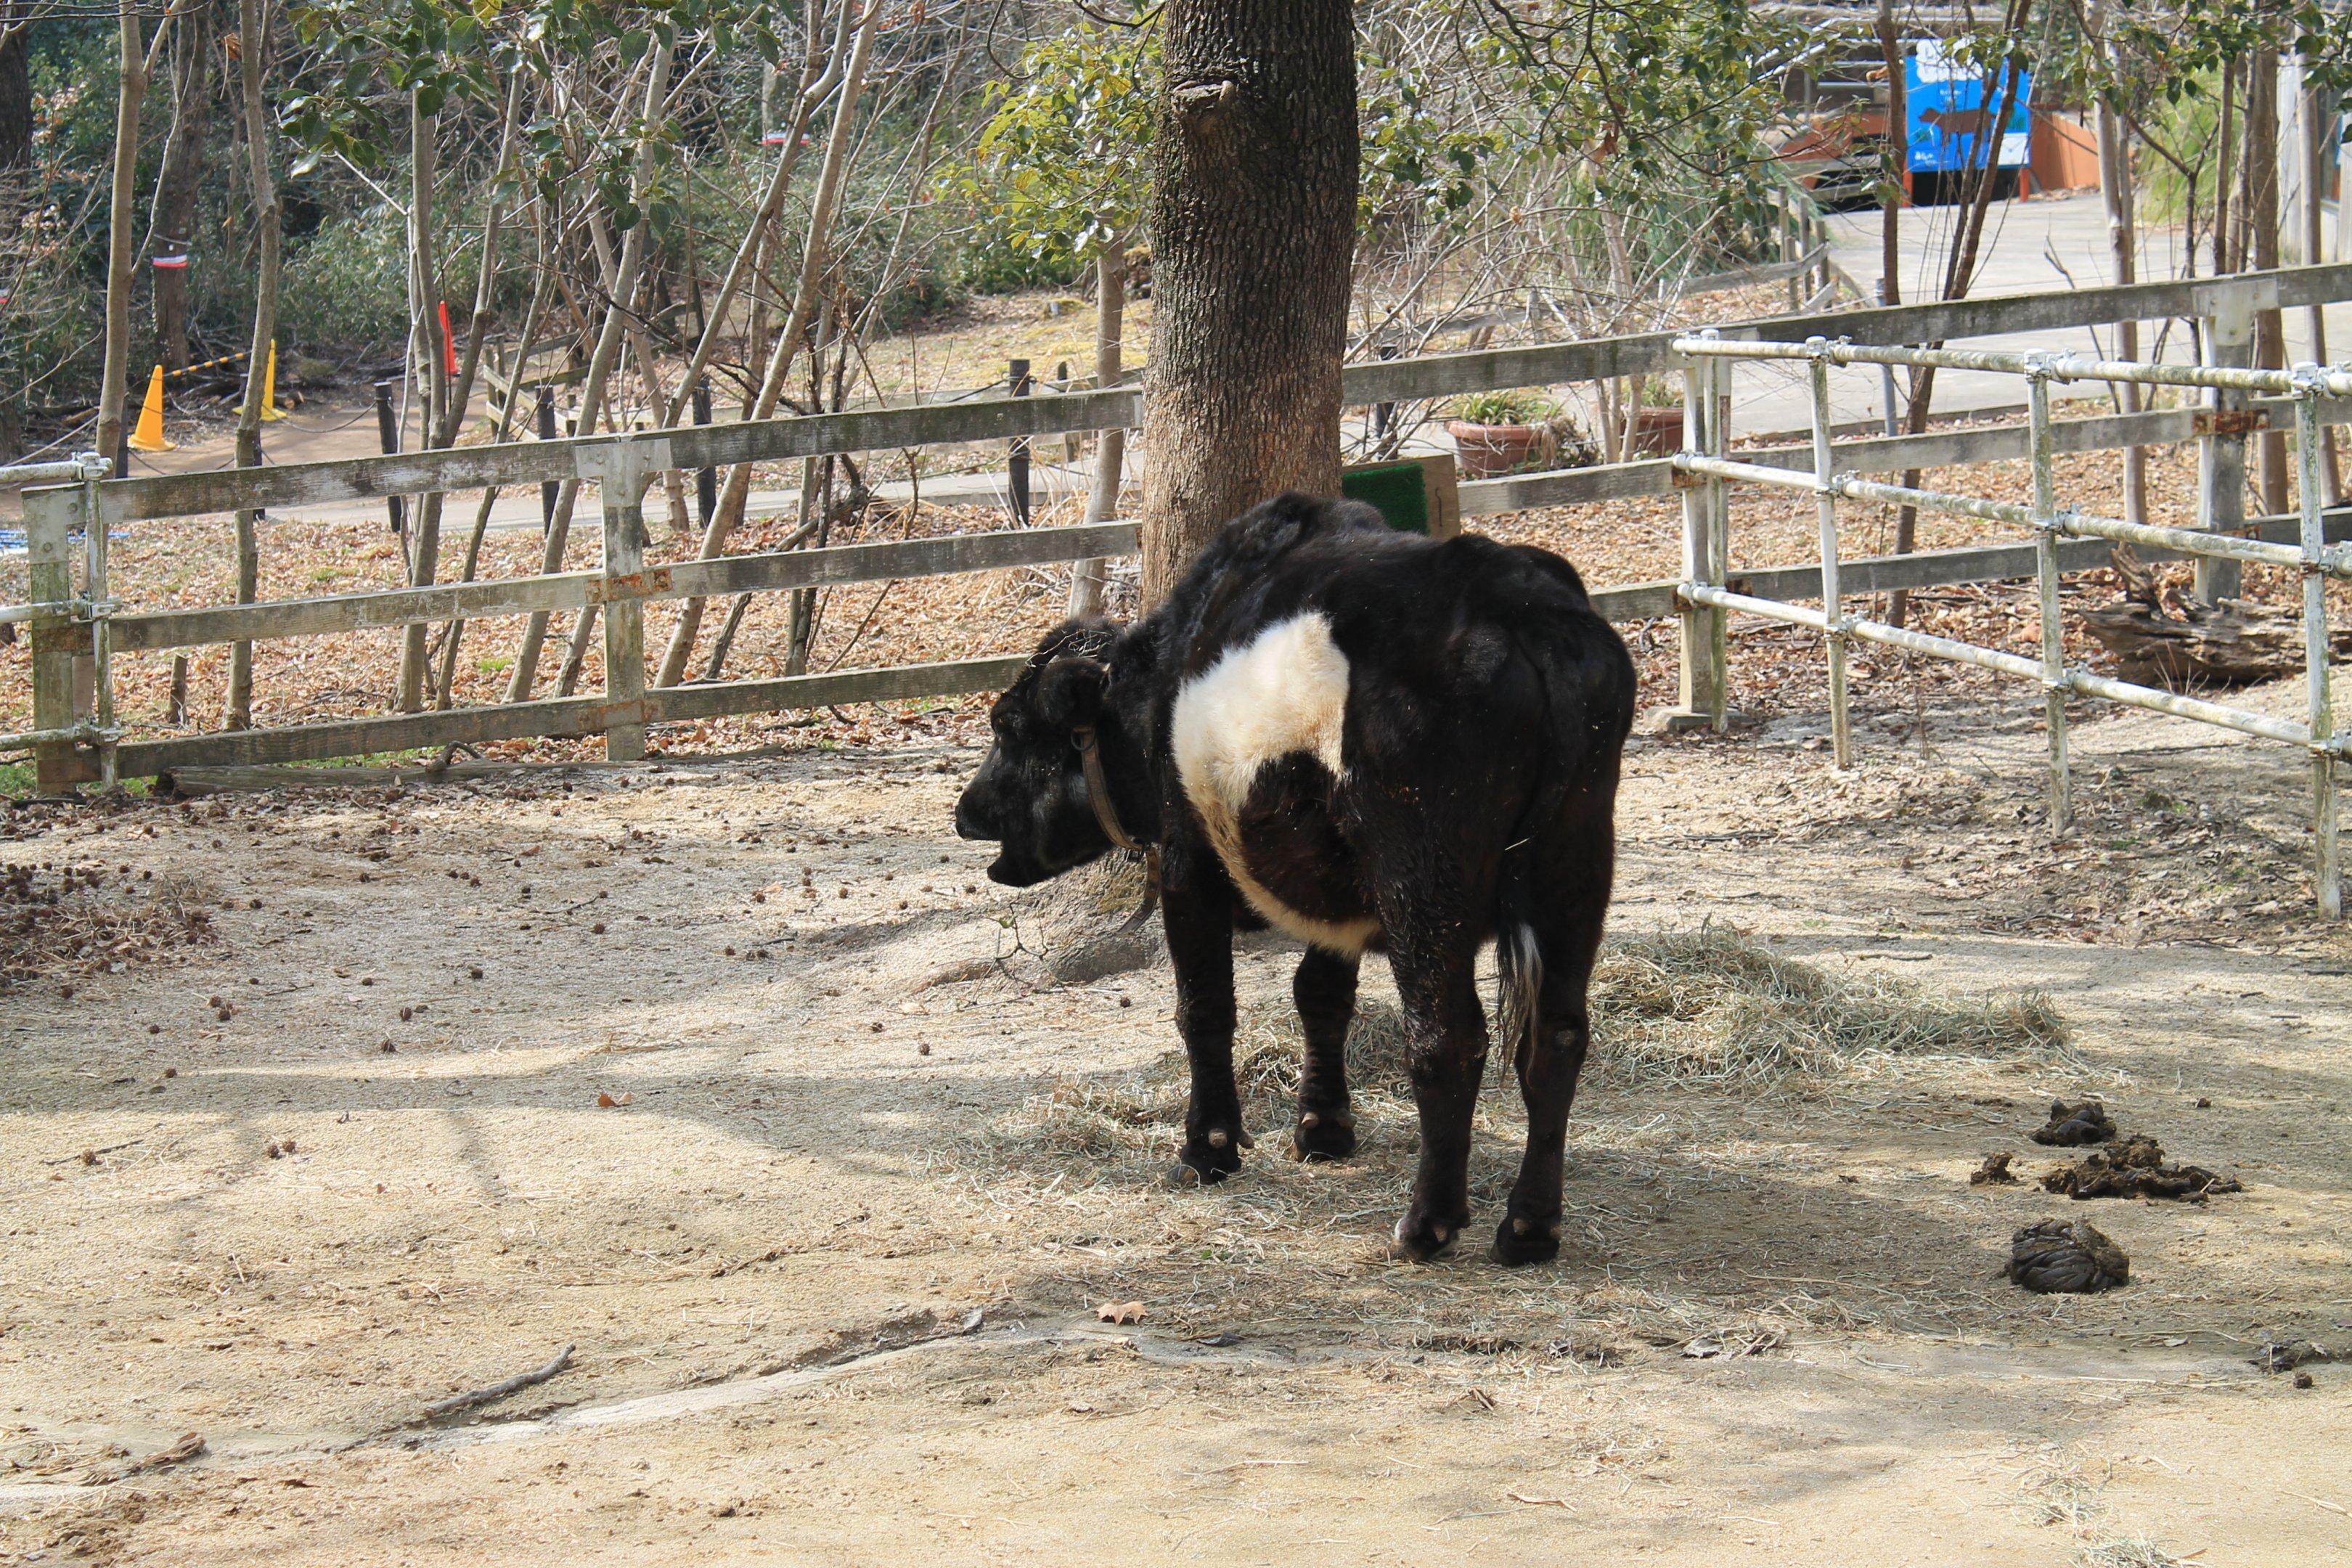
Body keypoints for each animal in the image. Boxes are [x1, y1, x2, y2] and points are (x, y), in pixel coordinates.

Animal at [955, 494, 1636, 1264]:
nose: (967, 812)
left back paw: (1427, 1221)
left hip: (1424, 881)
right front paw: (1324, 1128)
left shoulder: (1188, 861)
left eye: (1008, 726)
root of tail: (1517, 604)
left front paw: (1209, 1148)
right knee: (1556, 1037)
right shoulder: (1332, 891)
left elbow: (1204, 1008)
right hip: (1576, 860)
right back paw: (1528, 1227)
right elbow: (1320, 994)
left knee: (1447, 1040)